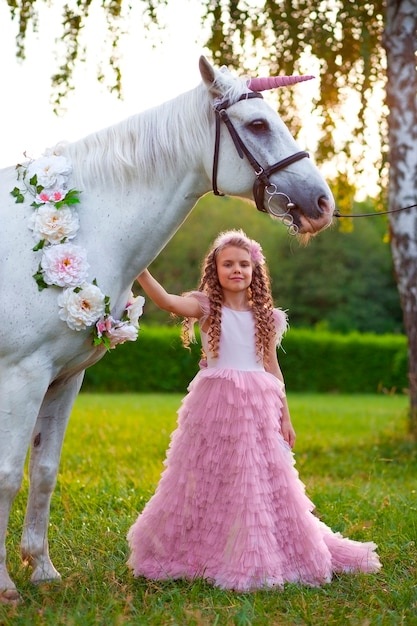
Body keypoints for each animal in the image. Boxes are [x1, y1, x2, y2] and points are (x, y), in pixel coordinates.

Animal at [0, 57, 334, 600]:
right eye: (258, 125)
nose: (322, 203)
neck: (87, 228)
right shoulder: (22, 377)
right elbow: (9, 474)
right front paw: (5, 584)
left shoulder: (63, 378)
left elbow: (45, 471)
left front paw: (43, 569)